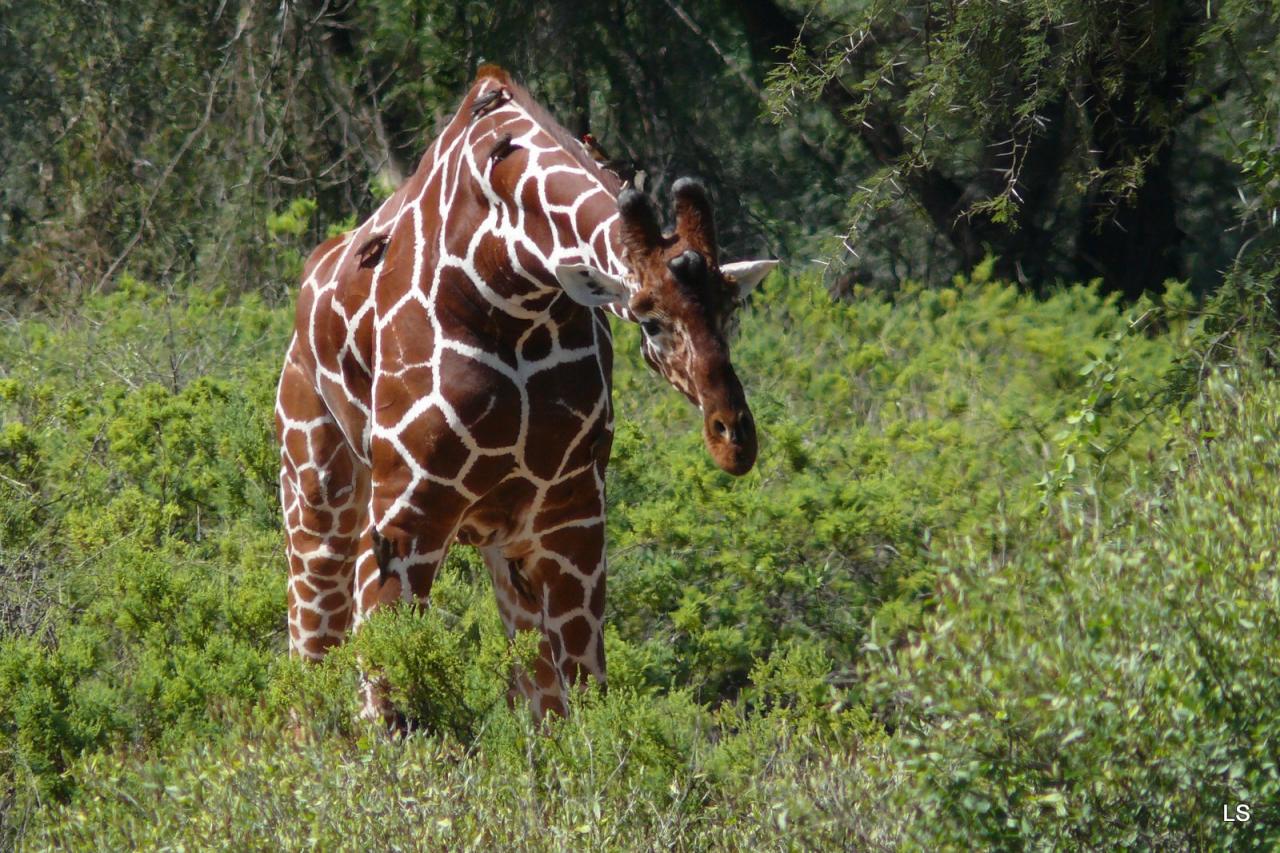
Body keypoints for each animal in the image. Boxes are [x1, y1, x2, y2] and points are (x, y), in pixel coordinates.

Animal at [275, 63, 773, 722]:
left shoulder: (569, 516)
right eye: (648, 319)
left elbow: (575, 698)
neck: (509, 282)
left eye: (729, 308)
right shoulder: (404, 517)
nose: (733, 439)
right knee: (310, 655)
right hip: (318, 494)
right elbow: (388, 698)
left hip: (499, 541)